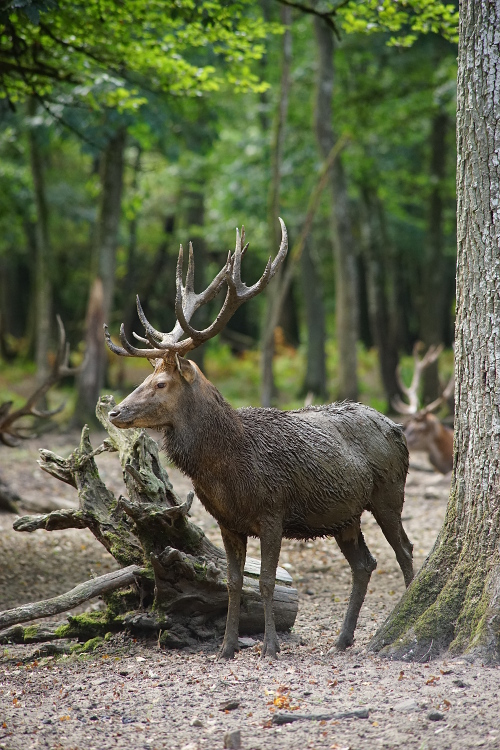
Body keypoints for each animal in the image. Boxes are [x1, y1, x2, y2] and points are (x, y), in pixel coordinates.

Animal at [103, 220, 412, 660]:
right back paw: (342, 639)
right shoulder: (227, 522)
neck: (227, 468)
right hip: (344, 515)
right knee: (364, 564)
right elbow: (235, 583)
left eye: (160, 383)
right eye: (147, 378)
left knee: (404, 551)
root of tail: (398, 428)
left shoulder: (272, 510)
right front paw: (226, 647)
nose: (116, 412)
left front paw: (269, 647)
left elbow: (266, 581)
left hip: (389, 492)